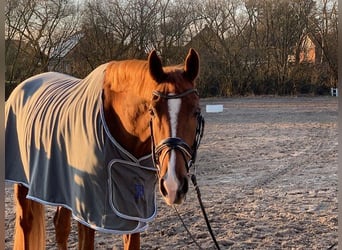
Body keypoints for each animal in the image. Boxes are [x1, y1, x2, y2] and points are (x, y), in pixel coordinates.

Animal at [5, 47, 203, 249]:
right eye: (152, 112)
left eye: (196, 112)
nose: (173, 185)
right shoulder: (88, 211)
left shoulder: (133, 210)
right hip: (22, 183)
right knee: (26, 223)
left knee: (61, 226)